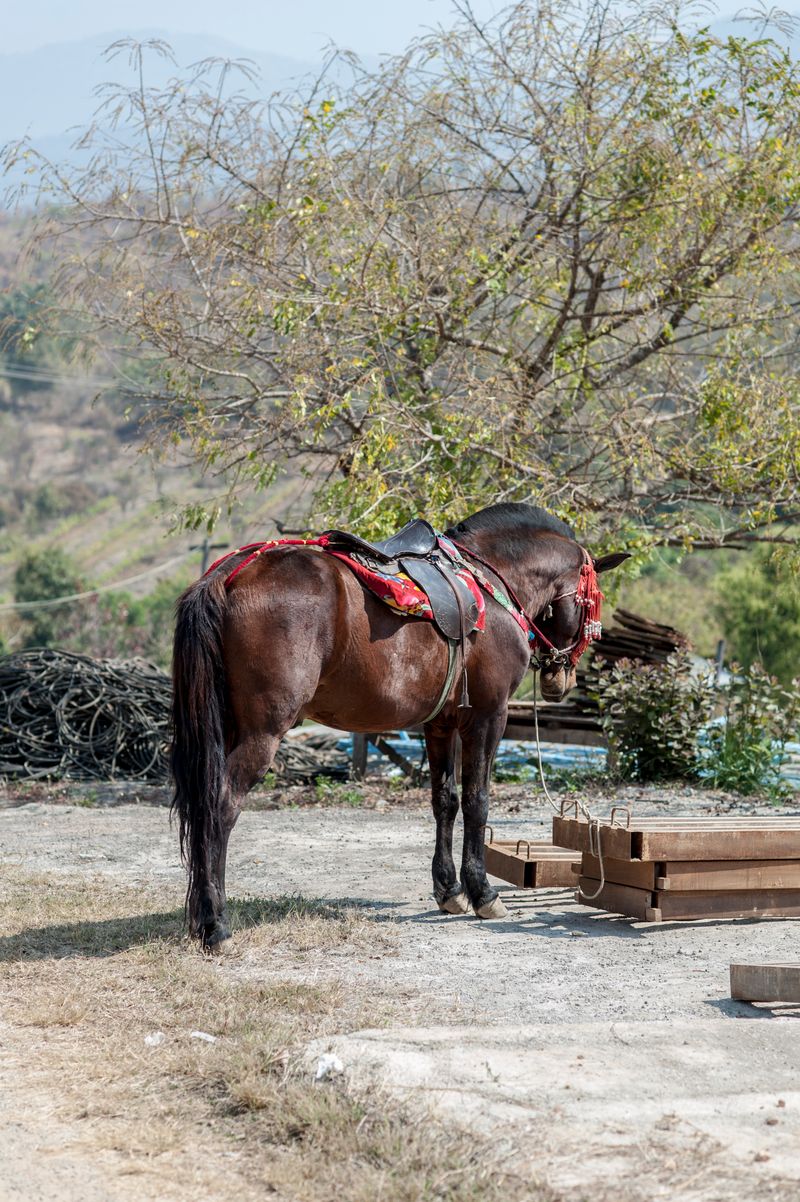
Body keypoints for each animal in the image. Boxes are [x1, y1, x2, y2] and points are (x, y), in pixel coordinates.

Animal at [171, 502, 628, 949]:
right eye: (590, 605)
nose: (561, 678)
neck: (490, 583)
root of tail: (229, 575)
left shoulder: (440, 723)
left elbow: (445, 801)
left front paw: (449, 890)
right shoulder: (487, 717)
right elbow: (477, 801)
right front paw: (482, 892)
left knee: (202, 807)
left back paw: (199, 919)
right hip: (262, 733)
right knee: (221, 806)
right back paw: (215, 925)